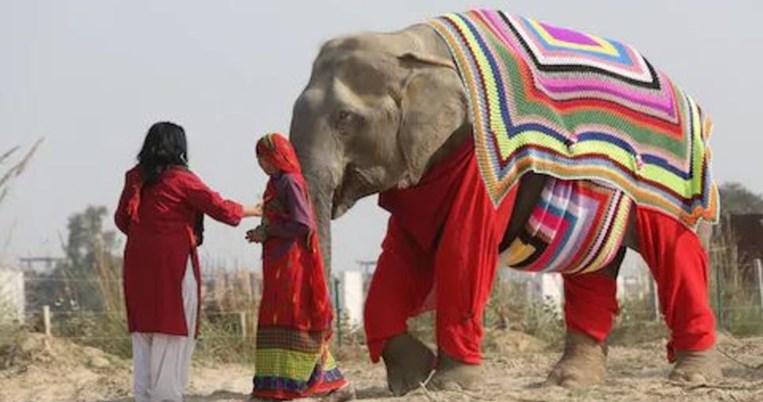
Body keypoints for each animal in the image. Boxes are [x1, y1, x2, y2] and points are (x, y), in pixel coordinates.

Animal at [286, 9, 724, 396]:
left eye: (345, 119)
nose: (338, 391)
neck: (407, 41)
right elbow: (400, 251)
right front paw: (413, 380)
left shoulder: (482, 157)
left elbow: (463, 245)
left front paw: (451, 385)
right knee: (594, 269)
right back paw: (570, 382)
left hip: (680, 182)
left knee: (677, 255)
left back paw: (691, 378)